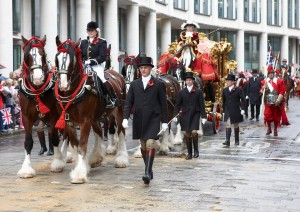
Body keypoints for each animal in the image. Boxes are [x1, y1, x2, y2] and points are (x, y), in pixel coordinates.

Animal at [17, 35, 64, 178]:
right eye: (27, 55)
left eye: (43, 54)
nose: (38, 78)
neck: (37, 91)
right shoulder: (26, 117)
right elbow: (28, 142)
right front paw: (26, 168)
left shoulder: (54, 117)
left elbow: (54, 138)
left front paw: (57, 163)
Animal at [55, 37, 127, 183]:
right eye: (57, 58)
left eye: (72, 59)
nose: (63, 85)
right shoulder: (69, 121)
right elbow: (76, 145)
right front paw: (83, 166)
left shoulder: (85, 121)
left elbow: (82, 145)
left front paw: (79, 174)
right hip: (95, 117)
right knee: (99, 132)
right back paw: (96, 158)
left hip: (118, 111)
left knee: (121, 131)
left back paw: (121, 159)